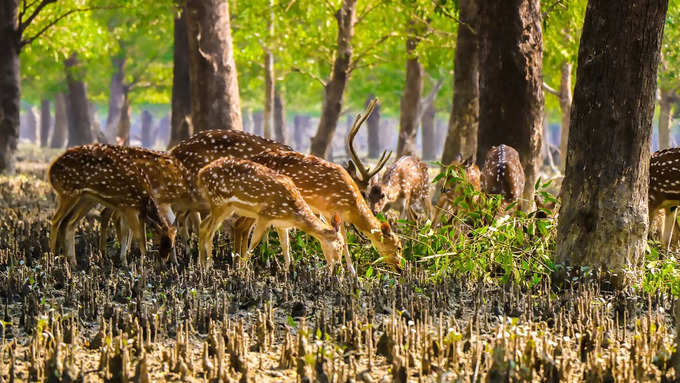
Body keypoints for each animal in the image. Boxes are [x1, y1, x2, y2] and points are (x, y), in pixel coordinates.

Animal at [197, 157, 346, 270]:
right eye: (341, 245)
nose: (338, 265)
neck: (293, 213)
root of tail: (201, 174)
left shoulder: (281, 223)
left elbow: (286, 249)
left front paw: (286, 273)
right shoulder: (265, 215)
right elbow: (254, 243)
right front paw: (244, 271)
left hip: (225, 207)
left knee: (203, 226)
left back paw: (201, 265)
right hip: (219, 201)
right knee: (209, 231)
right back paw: (208, 266)